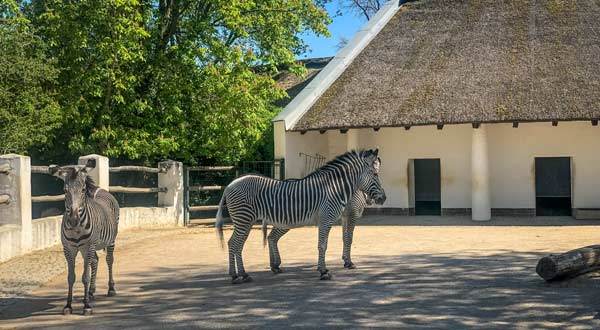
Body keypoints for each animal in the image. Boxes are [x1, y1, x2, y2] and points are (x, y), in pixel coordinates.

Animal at [49, 161, 120, 316]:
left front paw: (86, 306)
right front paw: (68, 305)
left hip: (110, 240)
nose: (74, 220)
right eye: (65, 191)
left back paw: (111, 288)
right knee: (95, 261)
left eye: (82, 190)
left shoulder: (88, 247)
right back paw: (91, 292)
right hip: (87, 248)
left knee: (109, 260)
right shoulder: (68, 249)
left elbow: (85, 277)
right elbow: (71, 277)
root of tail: (101, 189)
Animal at [218, 148, 386, 282]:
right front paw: (324, 272)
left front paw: (338, 264)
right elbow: (324, 245)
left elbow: (340, 240)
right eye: (375, 174)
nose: (383, 198)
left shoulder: (338, 218)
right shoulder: (329, 218)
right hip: (244, 219)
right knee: (234, 244)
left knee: (241, 244)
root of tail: (229, 185)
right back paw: (237, 275)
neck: (335, 188)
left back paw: (245, 273)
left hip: (248, 221)